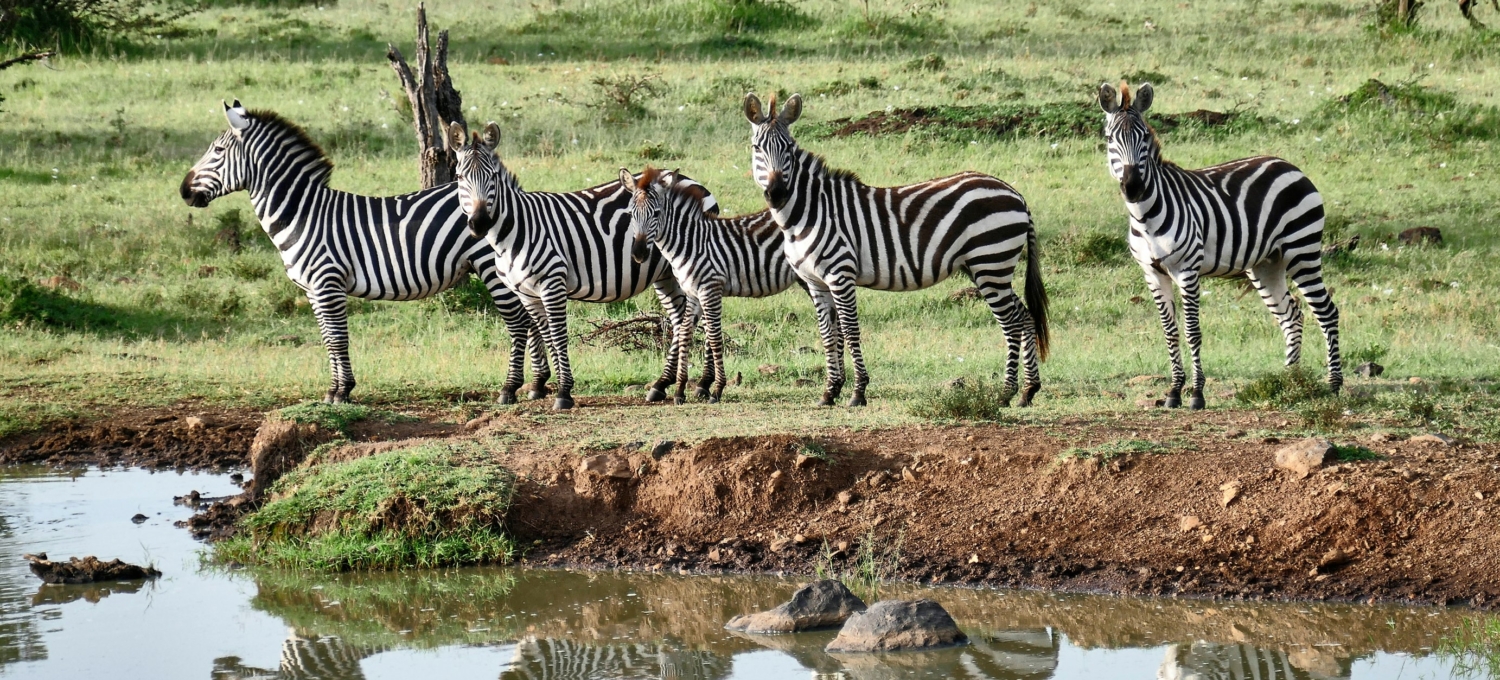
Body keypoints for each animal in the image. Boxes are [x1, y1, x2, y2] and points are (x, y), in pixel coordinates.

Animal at [180, 101, 546, 404]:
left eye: (217, 150)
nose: (183, 191)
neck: (302, 214)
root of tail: (510, 190)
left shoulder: (327, 282)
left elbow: (338, 339)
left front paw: (341, 392)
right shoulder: (313, 290)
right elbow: (327, 339)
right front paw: (335, 390)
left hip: (491, 268)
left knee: (519, 323)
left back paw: (510, 388)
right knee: (530, 320)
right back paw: (538, 385)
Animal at [448, 122, 719, 410]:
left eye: (493, 178)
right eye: (460, 178)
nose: (479, 223)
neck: (516, 230)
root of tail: (699, 185)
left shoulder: (553, 282)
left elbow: (557, 335)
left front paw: (563, 392)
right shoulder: (526, 292)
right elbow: (546, 334)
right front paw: (541, 387)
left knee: (701, 315)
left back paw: (703, 384)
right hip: (665, 273)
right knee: (681, 318)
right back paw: (663, 384)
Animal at [620, 165, 801, 404]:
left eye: (656, 214)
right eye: (632, 214)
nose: (639, 254)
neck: (690, 243)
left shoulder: (710, 287)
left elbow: (714, 338)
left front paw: (716, 389)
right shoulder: (692, 291)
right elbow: (685, 333)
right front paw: (679, 390)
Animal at [744, 92, 1050, 407]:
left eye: (790, 149)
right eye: (757, 148)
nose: (777, 193)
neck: (808, 212)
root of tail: (1015, 193)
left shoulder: (840, 274)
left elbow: (850, 330)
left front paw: (858, 392)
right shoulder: (815, 281)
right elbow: (829, 335)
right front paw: (829, 392)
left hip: (990, 262)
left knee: (1012, 323)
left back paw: (1006, 393)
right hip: (986, 267)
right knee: (1026, 317)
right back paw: (1028, 391)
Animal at [1099, 82, 1342, 409]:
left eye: (1145, 137)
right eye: (1110, 138)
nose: (1133, 187)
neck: (1144, 216)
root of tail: (1288, 165)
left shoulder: (1187, 270)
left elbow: (1192, 332)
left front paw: (1197, 394)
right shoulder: (1152, 273)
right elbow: (1170, 333)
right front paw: (1174, 391)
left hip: (1302, 250)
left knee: (1326, 311)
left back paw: (1333, 384)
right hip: (1266, 264)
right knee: (1292, 314)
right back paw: (1290, 380)